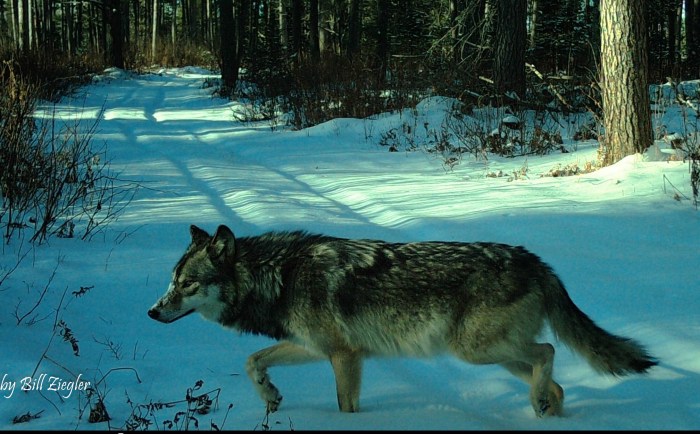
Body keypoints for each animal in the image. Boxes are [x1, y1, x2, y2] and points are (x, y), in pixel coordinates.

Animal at [148, 224, 657, 418]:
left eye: (187, 285)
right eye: (171, 281)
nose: (152, 312)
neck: (282, 275)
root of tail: (537, 262)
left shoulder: (344, 356)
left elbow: (344, 407)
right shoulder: (317, 348)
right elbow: (254, 360)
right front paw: (270, 397)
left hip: (476, 351)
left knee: (549, 353)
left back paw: (540, 403)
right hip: (496, 357)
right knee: (558, 384)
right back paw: (545, 410)